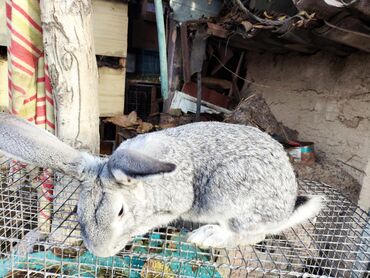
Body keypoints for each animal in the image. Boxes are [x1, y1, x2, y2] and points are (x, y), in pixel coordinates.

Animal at [0, 114, 320, 258]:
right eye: (78, 212)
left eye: (119, 212)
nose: (101, 252)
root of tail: (285, 210)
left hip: (234, 198)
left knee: (250, 235)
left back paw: (206, 237)